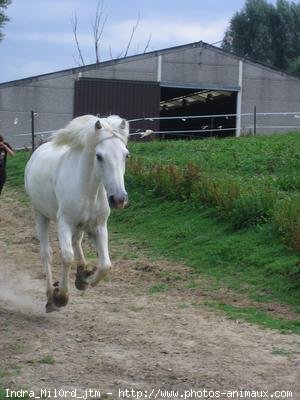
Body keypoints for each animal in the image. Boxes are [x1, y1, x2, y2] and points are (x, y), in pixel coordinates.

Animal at [24, 114, 129, 310]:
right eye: (99, 156)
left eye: (126, 155)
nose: (118, 199)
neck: (88, 189)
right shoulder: (64, 222)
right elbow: (67, 256)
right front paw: (60, 296)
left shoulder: (99, 226)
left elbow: (106, 265)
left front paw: (85, 280)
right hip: (40, 214)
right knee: (46, 253)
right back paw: (50, 295)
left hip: (80, 225)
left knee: (76, 241)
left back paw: (82, 273)